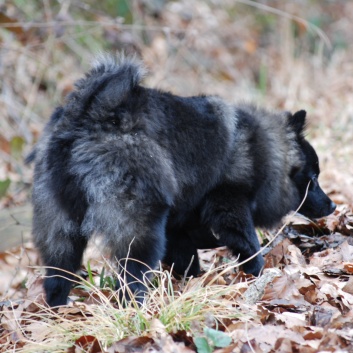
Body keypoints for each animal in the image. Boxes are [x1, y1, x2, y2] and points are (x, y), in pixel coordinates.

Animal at [28, 55, 334, 306]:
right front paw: (258, 275)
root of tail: (88, 116)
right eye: (313, 178)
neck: (263, 150)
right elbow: (249, 246)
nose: (332, 206)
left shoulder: (178, 231)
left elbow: (188, 262)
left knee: (56, 280)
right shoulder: (230, 207)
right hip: (140, 230)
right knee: (130, 281)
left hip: (61, 233)